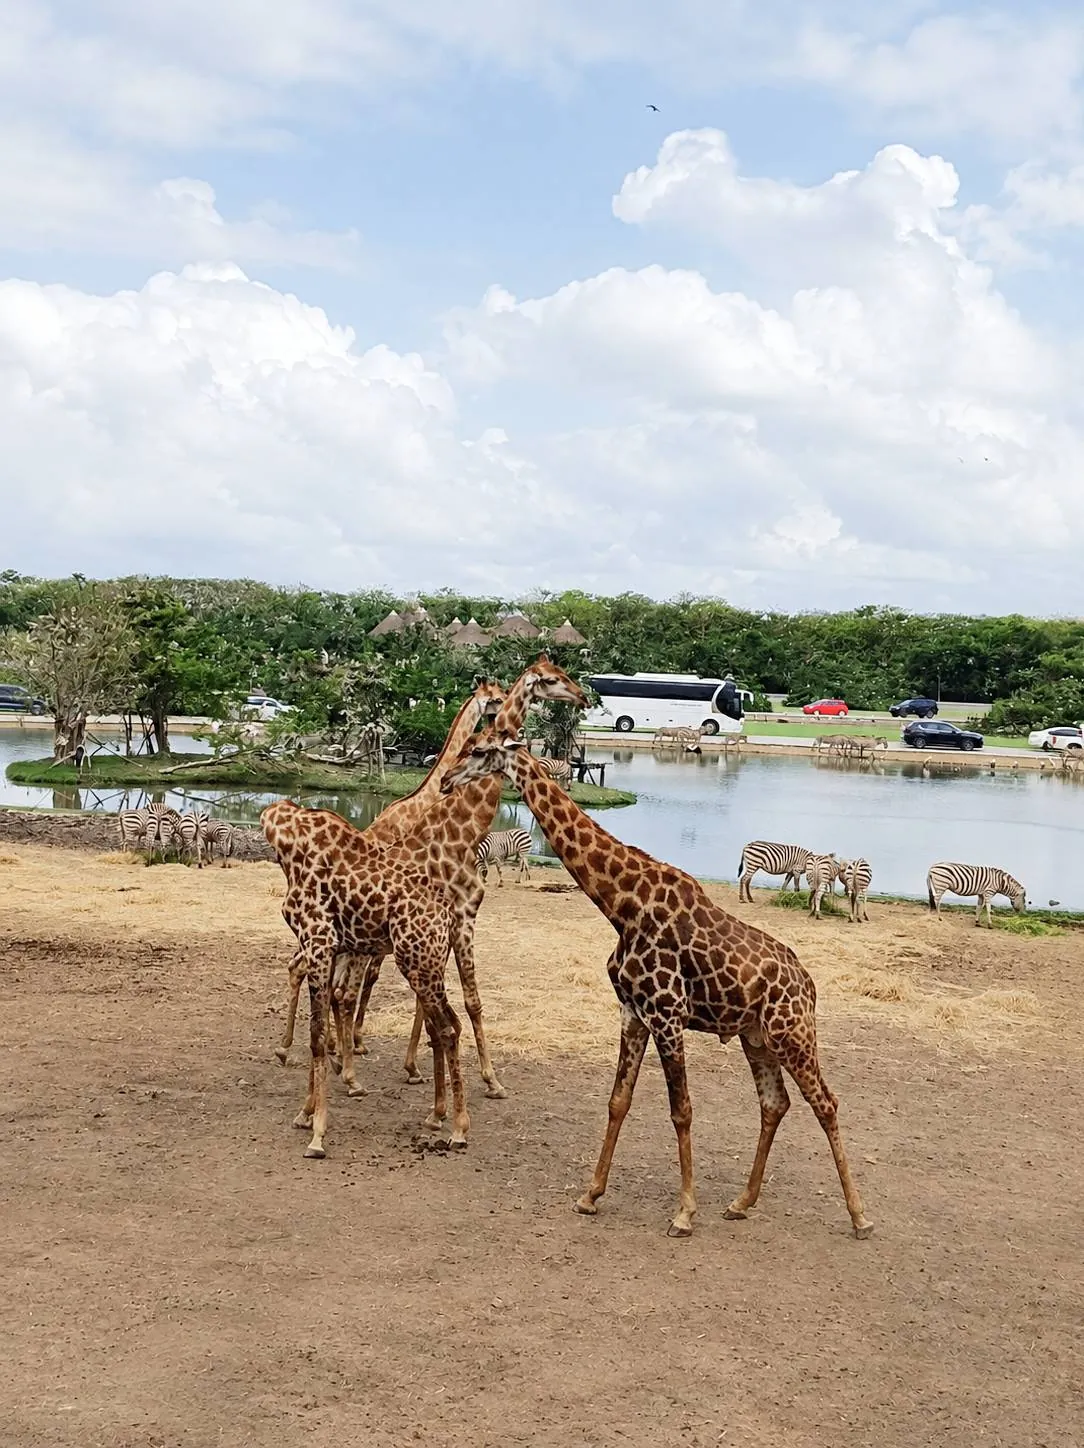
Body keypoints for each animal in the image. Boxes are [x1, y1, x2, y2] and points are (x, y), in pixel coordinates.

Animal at [260, 798, 468, 1159]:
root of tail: (447, 914)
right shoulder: (327, 948)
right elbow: (320, 1028)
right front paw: (306, 1113)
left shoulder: (319, 942)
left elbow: (316, 1036)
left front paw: (318, 1135)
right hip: (430, 964)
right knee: (451, 1025)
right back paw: (441, 1117)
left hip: (417, 963)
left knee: (446, 1029)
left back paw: (457, 1129)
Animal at [440, 730, 873, 1240]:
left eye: (479, 750)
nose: (445, 779)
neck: (623, 905)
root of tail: (809, 985)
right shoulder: (633, 1011)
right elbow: (618, 1101)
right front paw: (590, 1196)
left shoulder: (668, 1014)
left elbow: (681, 1109)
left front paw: (684, 1212)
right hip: (756, 1037)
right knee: (774, 1103)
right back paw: (741, 1202)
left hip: (793, 1033)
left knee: (826, 1102)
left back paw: (859, 1216)